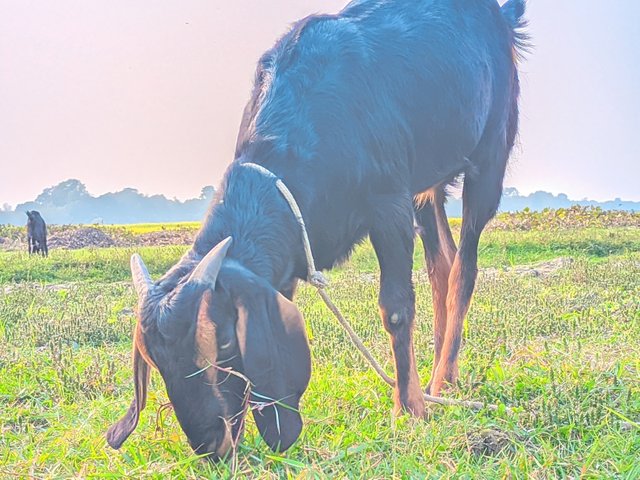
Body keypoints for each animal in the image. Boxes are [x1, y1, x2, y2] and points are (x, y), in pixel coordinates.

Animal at [106, 0, 524, 460]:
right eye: (156, 361)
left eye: (225, 344)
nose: (211, 444)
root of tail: (501, 17)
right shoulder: (287, 261)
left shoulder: (389, 202)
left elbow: (396, 307)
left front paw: (409, 410)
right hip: (427, 186)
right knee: (442, 264)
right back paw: (440, 375)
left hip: (488, 157)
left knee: (463, 269)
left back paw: (441, 379)